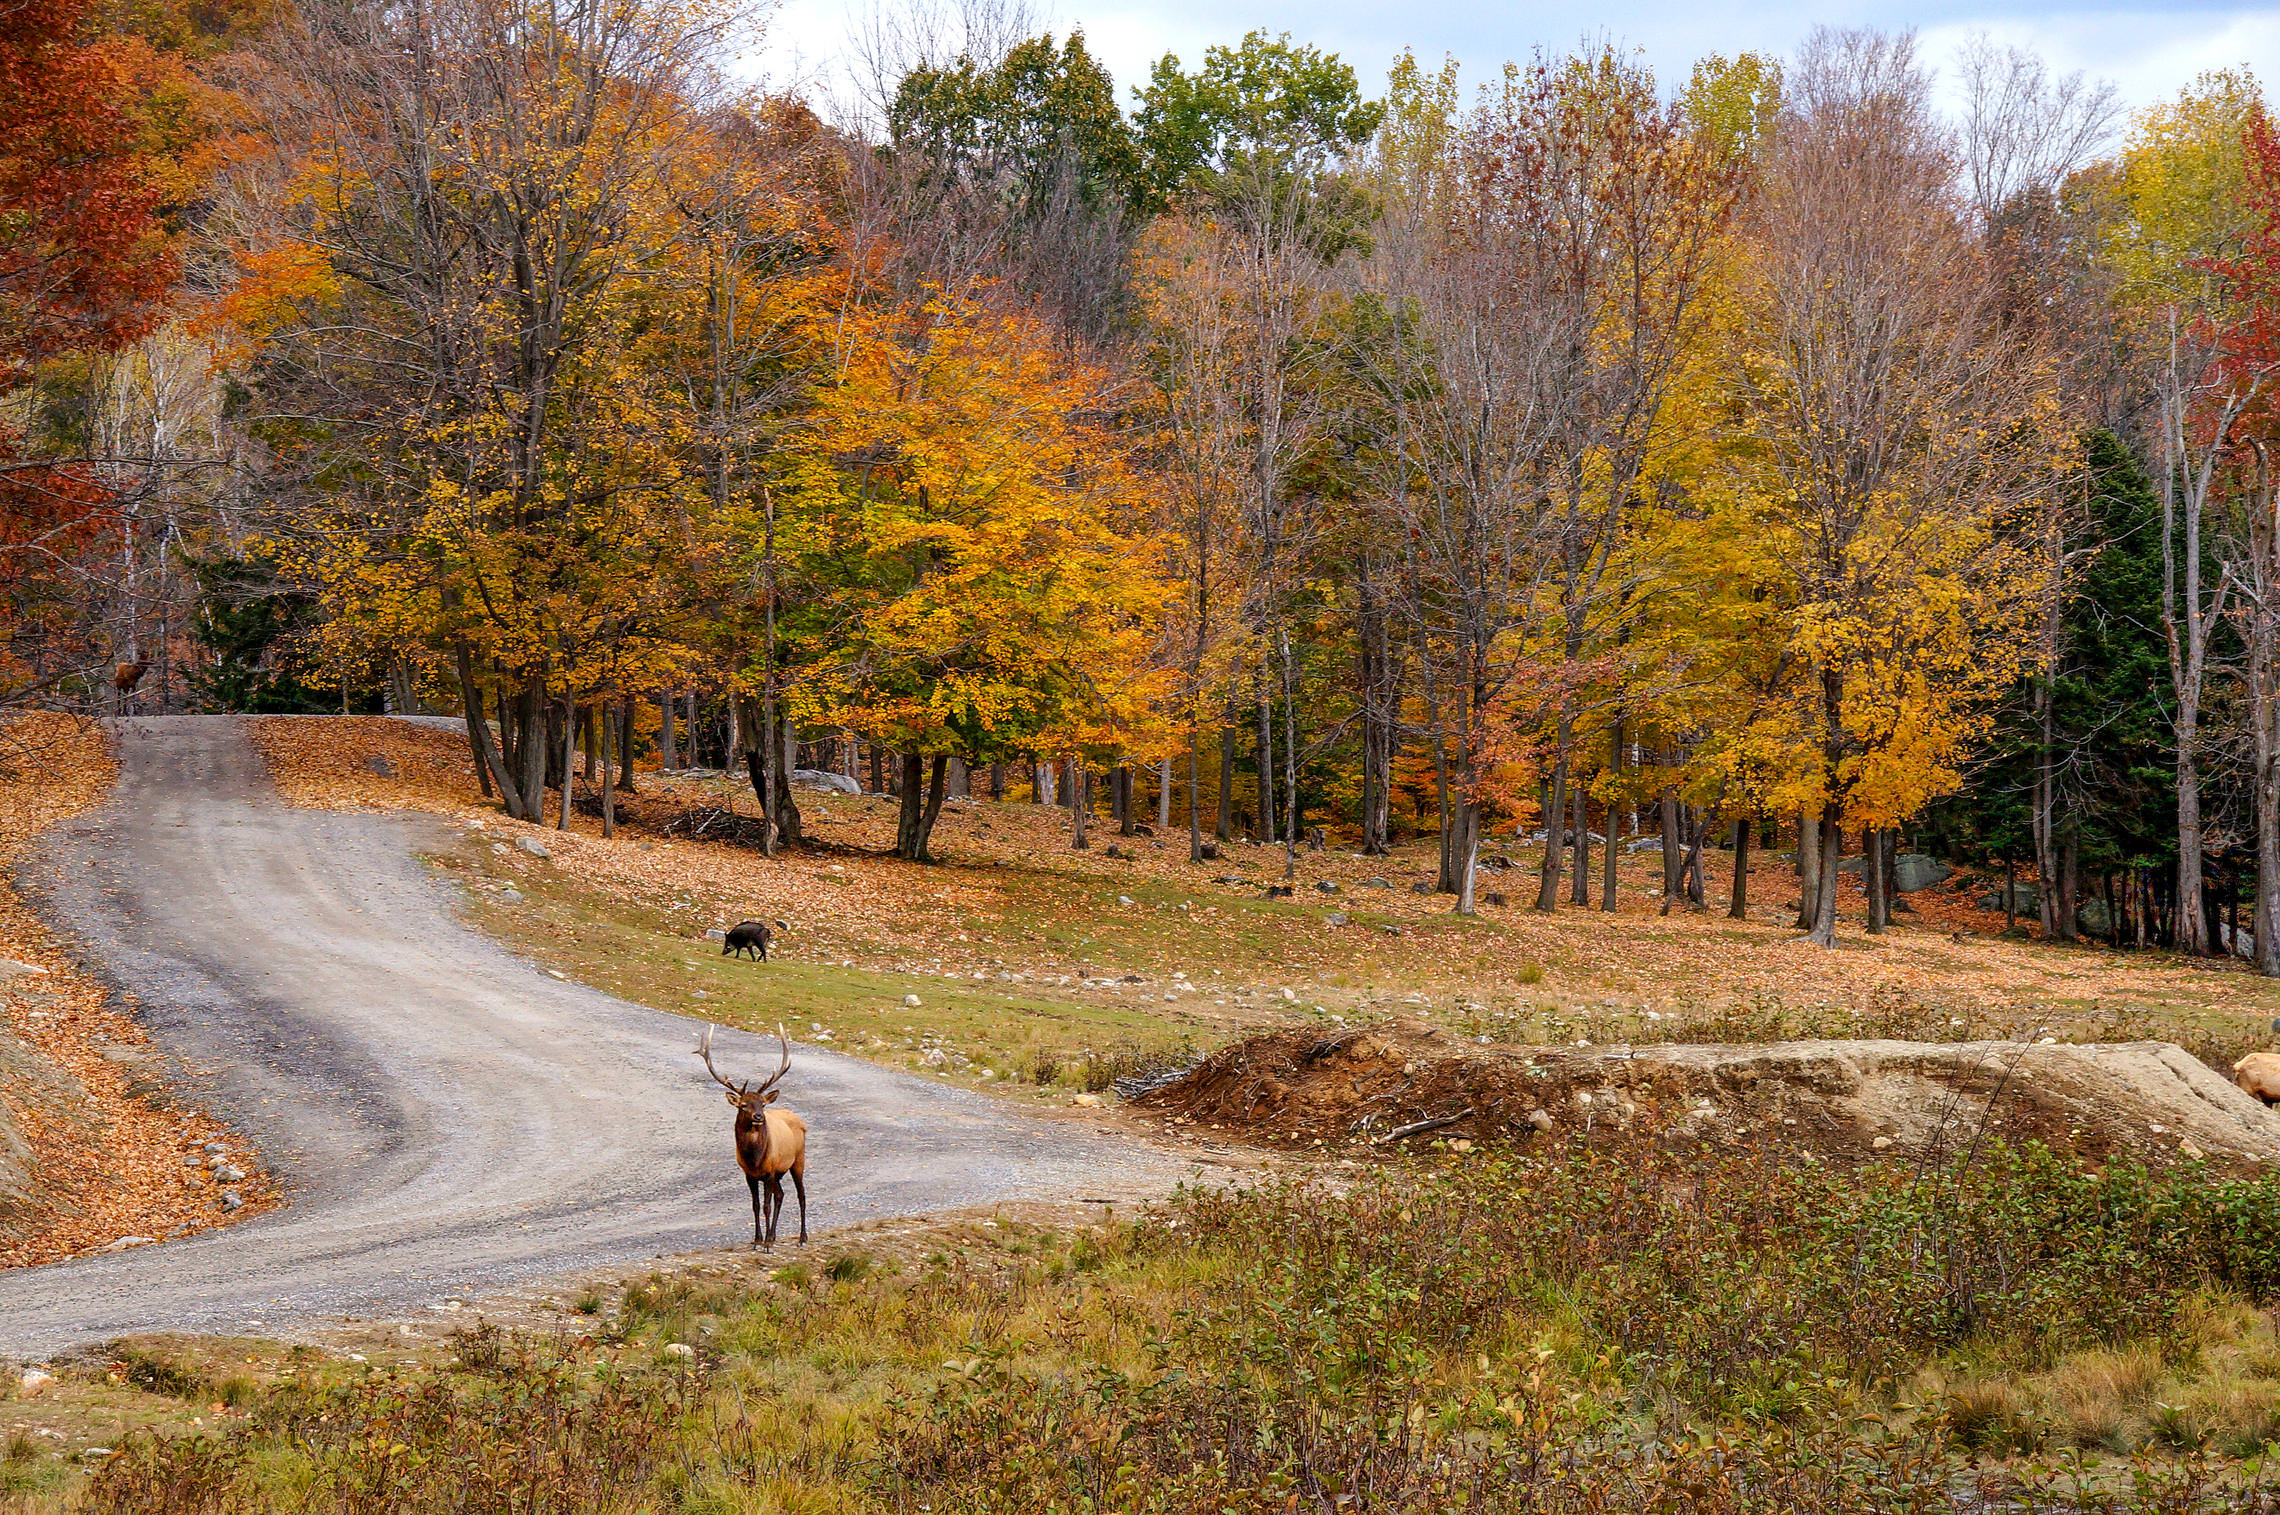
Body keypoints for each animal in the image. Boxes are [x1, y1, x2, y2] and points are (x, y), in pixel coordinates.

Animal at [702, 1022, 811, 1250]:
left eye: (762, 1103)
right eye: (743, 1105)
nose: (759, 1117)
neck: (755, 1159)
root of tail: (799, 1119)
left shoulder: (769, 1171)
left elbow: (766, 1206)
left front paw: (766, 1244)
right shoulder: (749, 1174)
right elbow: (755, 1205)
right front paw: (758, 1239)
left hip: (798, 1160)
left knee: (801, 1195)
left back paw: (802, 1237)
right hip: (779, 1172)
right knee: (781, 1194)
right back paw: (774, 1235)